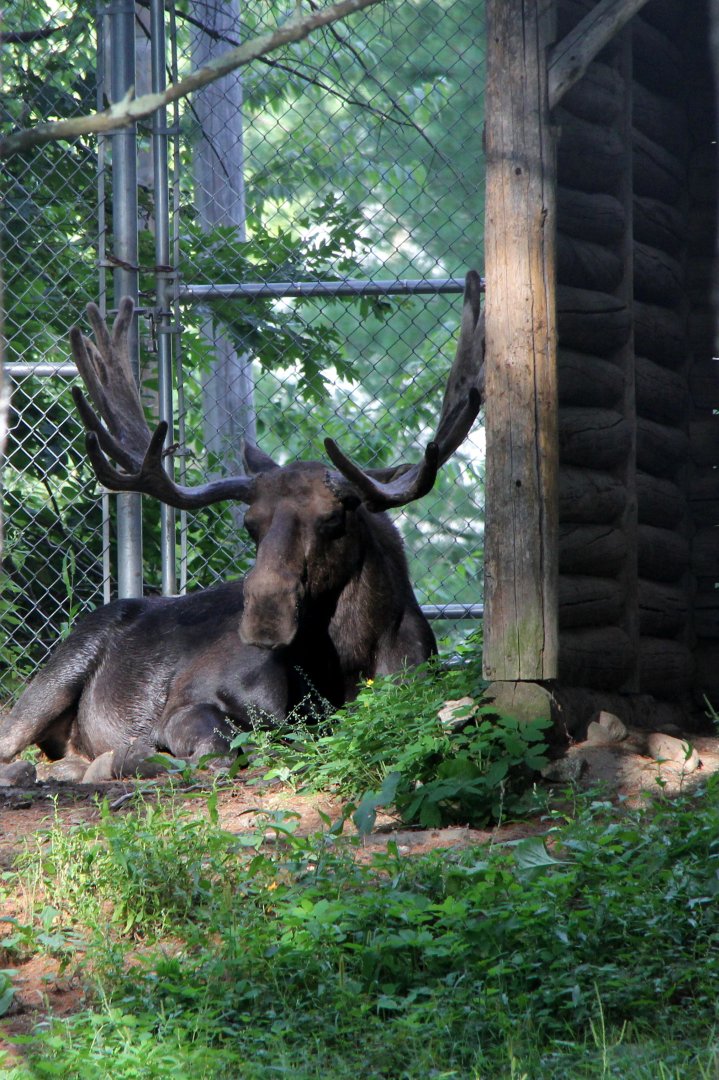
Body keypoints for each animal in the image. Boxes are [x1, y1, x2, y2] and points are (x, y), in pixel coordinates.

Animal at [0, 272, 484, 780]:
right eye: (251, 524)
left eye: (333, 519)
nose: (265, 613)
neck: (350, 659)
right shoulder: (186, 705)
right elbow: (224, 750)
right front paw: (135, 756)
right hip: (58, 673)